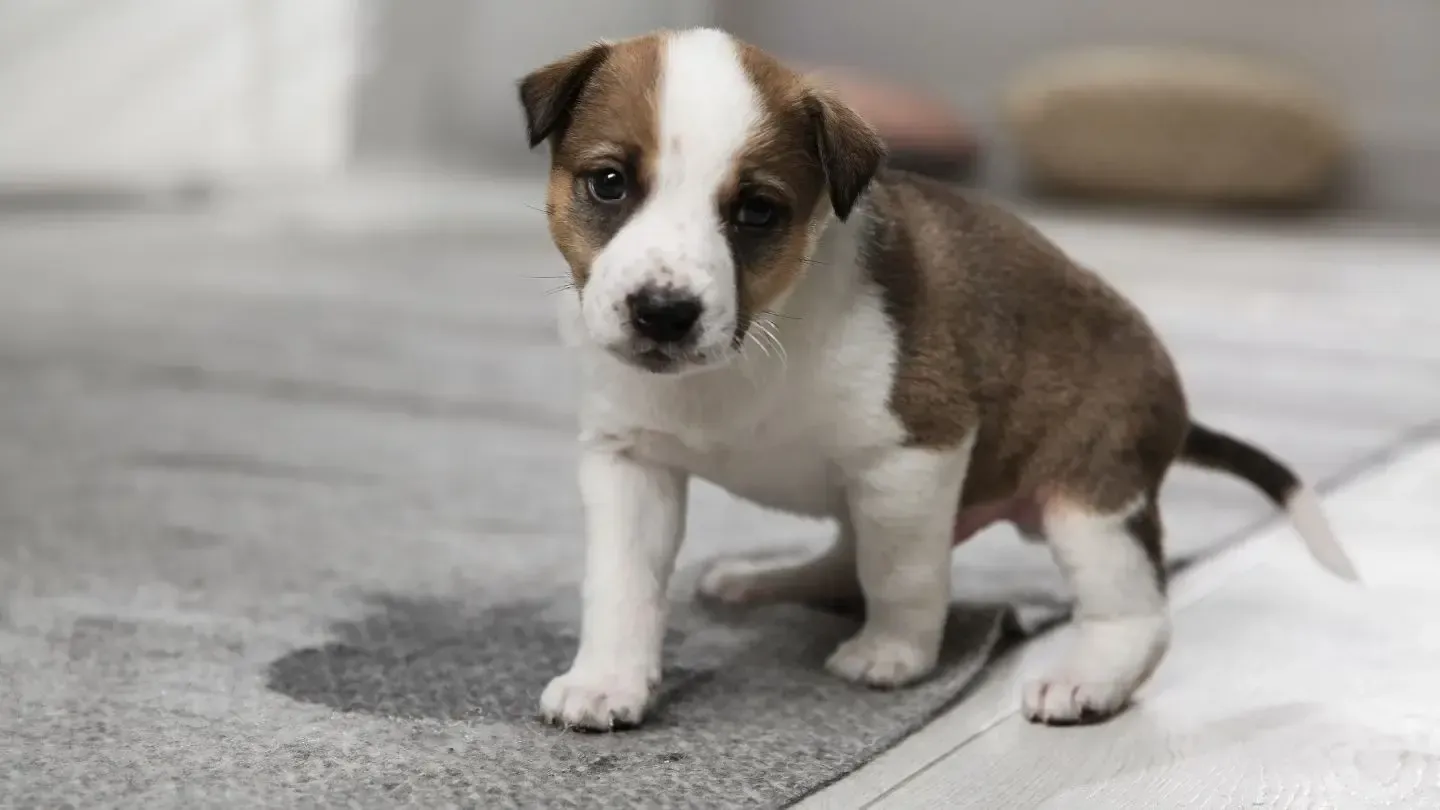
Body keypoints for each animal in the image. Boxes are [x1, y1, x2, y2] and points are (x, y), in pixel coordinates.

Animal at [518, 28, 1359, 729]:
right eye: (608, 182)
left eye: (757, 211)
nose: (663, 313)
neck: (757, 345)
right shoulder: (630, 462)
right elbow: (621, 585)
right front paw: (607, 680)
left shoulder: (913, 457)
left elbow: (901, 574)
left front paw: (894, 654)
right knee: (842, 558)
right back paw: (765, 579)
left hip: (1090, 502)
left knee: (1134, 613)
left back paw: (1089, 678)